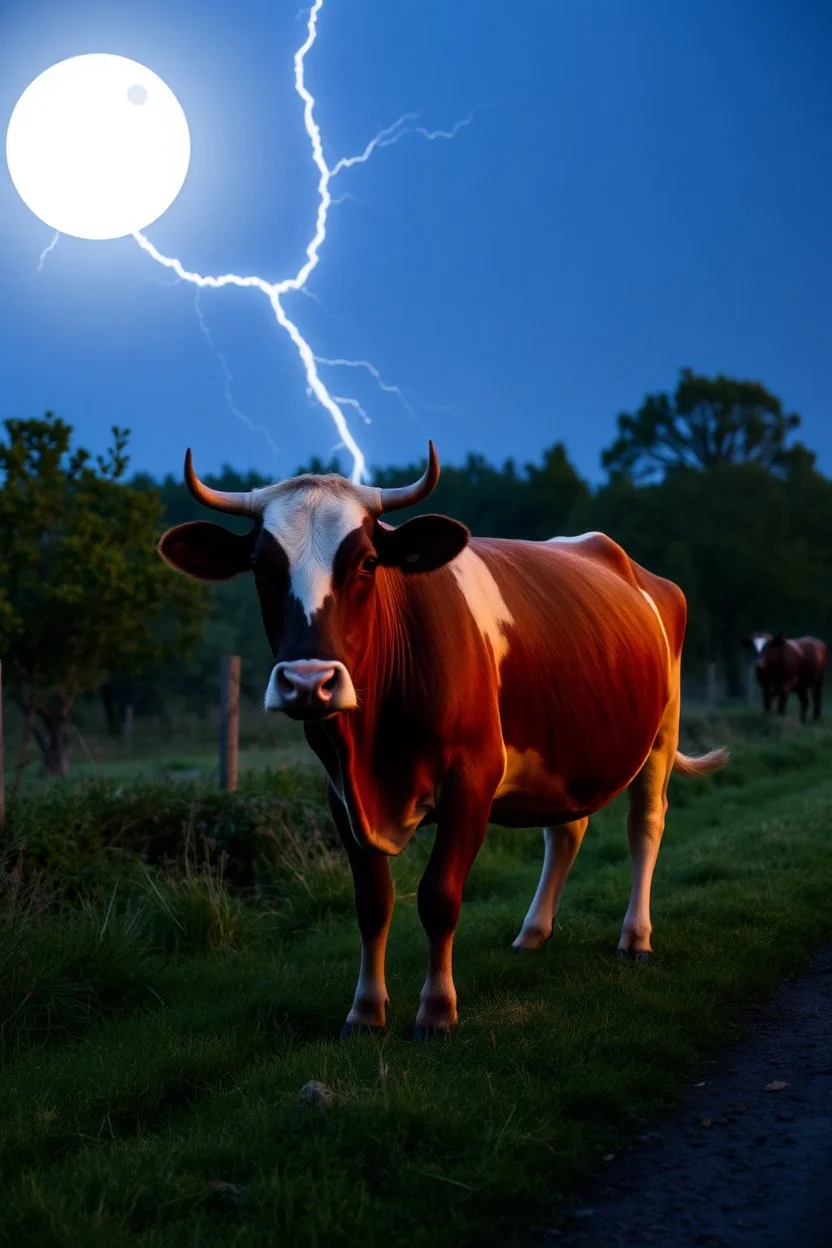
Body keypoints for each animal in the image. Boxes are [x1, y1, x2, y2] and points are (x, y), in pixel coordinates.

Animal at [157, 444, 728, 1038]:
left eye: (366, 564)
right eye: (261, 568)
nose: (309, 682)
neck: (373, 749)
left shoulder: (471, 780)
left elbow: (439, 895)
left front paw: (436, 1010)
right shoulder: (339, 792)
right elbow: (372, 902)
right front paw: (365, 1011)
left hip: (660, 733)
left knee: (645, 825)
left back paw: (635, 937)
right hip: (566, 751)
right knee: (567, 830)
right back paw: (532, 933)